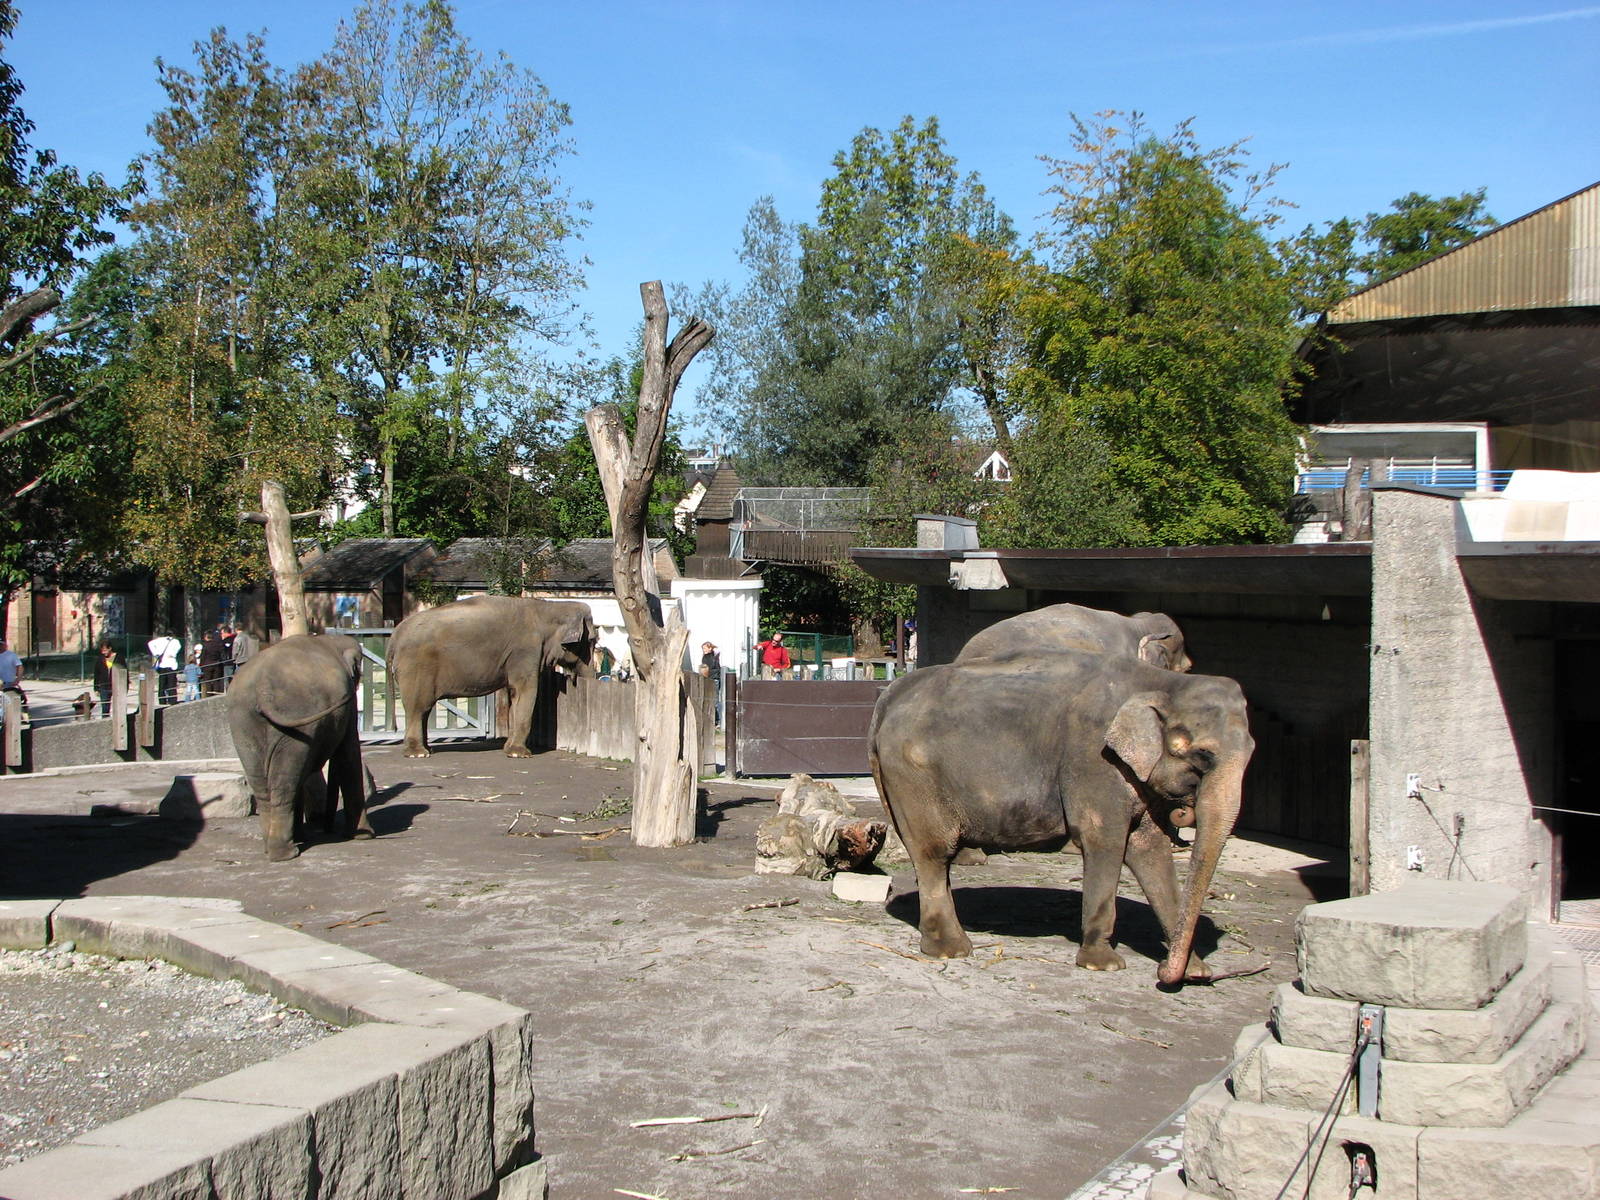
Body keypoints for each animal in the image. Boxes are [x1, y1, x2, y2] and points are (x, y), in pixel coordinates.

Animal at [226, 633, 373, 862]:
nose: (328, 828)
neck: (329, 639)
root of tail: (263, 689)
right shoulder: (348, 702)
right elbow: (348, 754)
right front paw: (364, 835)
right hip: (296, 718)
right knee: (285, 781)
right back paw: (286, 853)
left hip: (243, 720)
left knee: (264, 784)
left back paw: (273, 848)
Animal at [388, 595, 597, 758]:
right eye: (593, 641)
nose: (574, 680)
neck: (550, 607)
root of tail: (394, 636)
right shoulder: (525, 651)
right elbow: (525, 691)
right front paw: (519, 754)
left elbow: (514, 695)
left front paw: (509, 749)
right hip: (416, 667)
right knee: (418, 707)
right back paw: (418, 753)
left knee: (423, 708)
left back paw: (427, 750)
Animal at [868, 649, 1253, 987]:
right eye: (1203, 755)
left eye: (1251, 751)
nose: (1161, 973)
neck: (1162, 680)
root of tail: (889, 697)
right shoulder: (1093, 759)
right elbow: (1105, 841)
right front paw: (1104, 965)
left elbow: (1149, 849)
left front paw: (1195, 972)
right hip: (914, 776)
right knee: (934, 853)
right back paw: (951, 951)